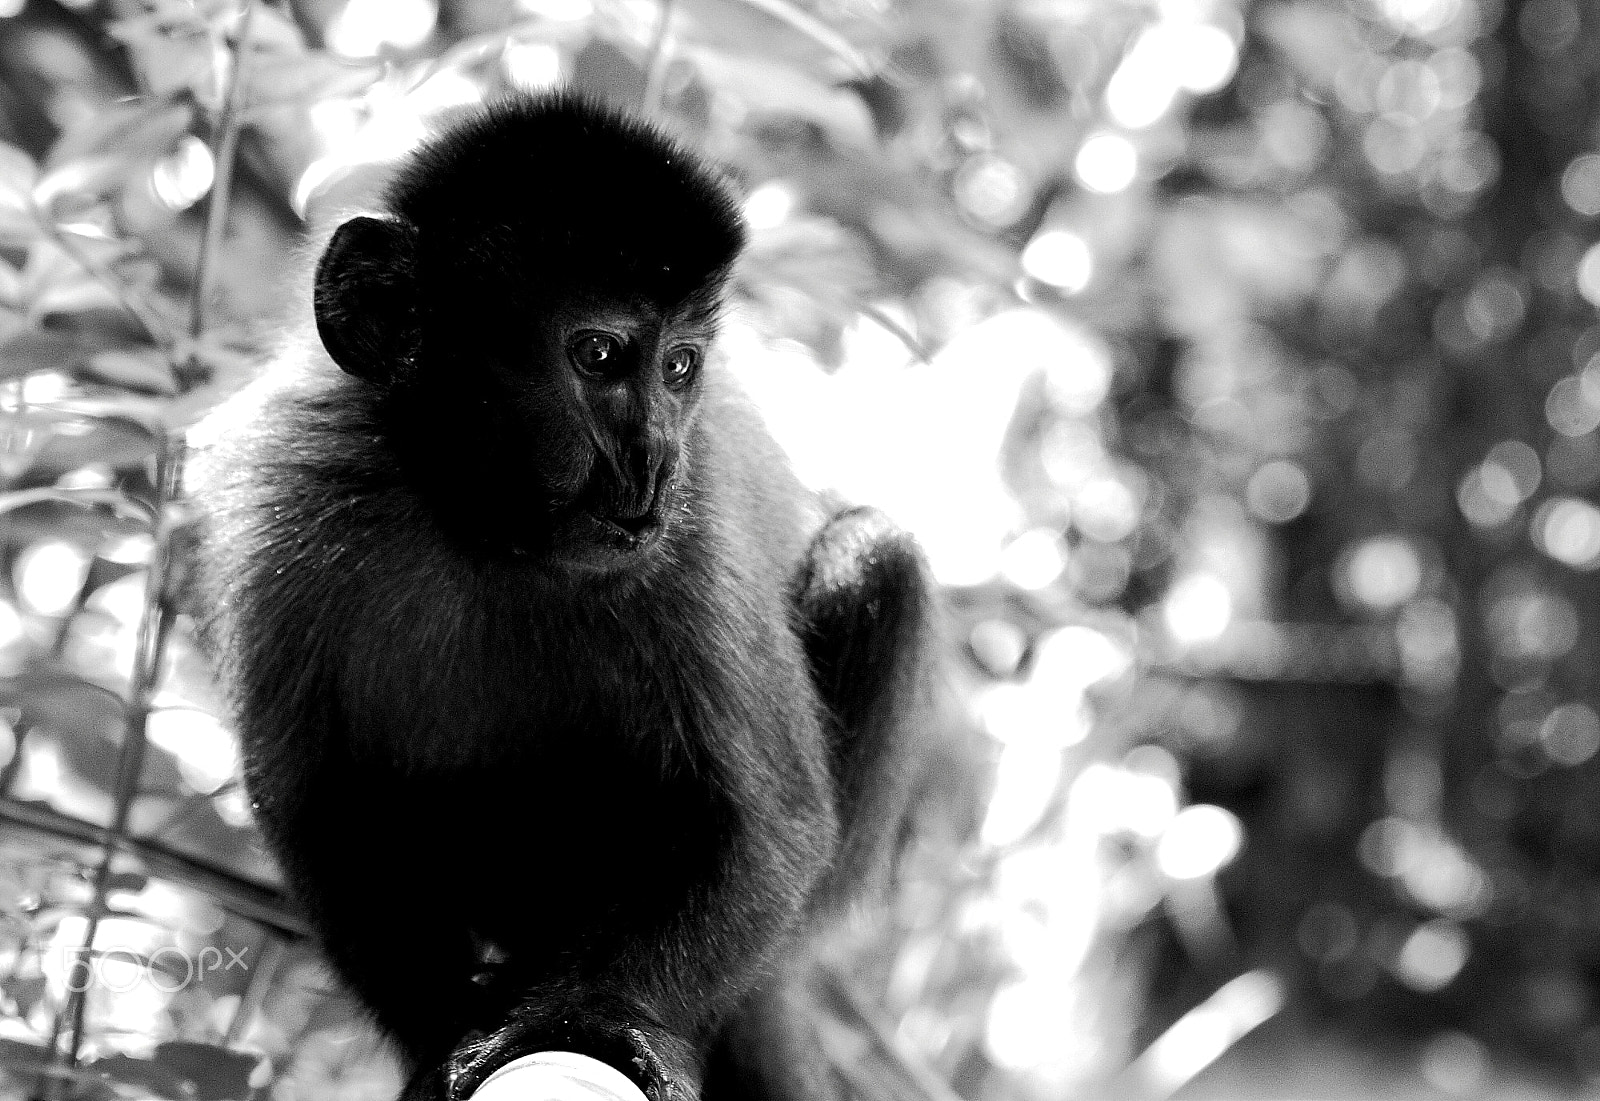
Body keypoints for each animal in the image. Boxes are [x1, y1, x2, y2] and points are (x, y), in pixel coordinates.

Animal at [185, 91, 933, 1101]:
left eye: (680, 367)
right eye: (601, 354)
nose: (652, 461)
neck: (485, 528)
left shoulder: (690, 533)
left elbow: (766, 828)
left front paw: (591, 1017)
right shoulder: (293, 478)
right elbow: (318, 805)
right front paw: (443, 1037)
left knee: (876, 557)